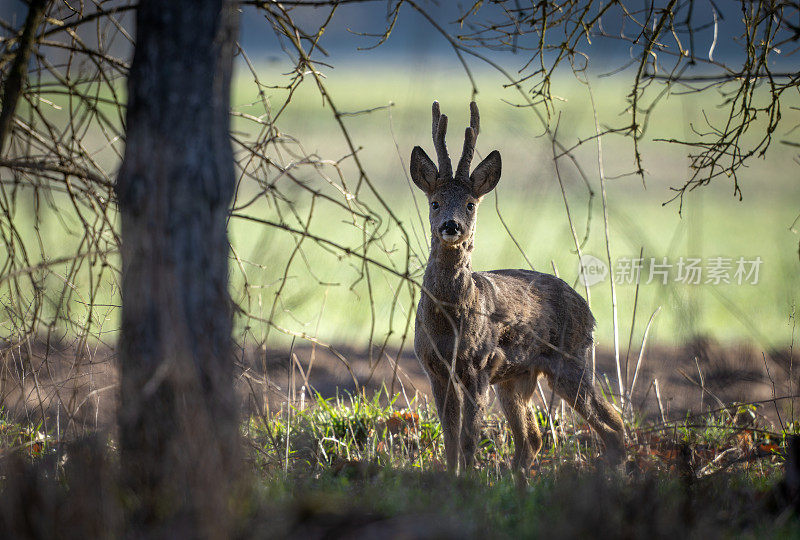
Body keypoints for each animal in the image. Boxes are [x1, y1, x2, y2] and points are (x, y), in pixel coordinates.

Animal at [412, 100, 624, 472]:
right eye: (434, 202)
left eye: (470, 204)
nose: (451, 226)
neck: (448, 323)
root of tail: (588, 310)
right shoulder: (435, 368)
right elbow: (450, 439)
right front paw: (451, 478)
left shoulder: (478, 365)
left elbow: (467, 440)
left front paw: (467, 480)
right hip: (517, 378)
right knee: (532, 441)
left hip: (570, 360)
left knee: (615, 424)